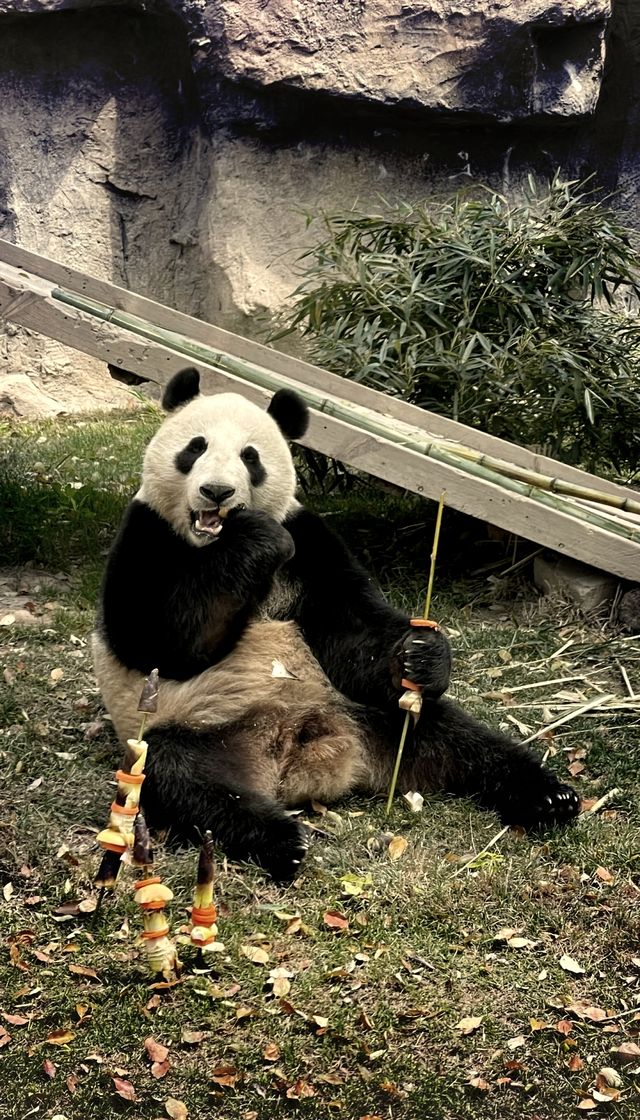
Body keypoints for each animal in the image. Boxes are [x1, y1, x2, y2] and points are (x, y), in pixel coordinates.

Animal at [94, 367, 582, 882]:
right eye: (195, 447)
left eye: (250, 457)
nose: (218, 492)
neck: (211, 542)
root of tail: (302, 759)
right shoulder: (147, 532)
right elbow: (158, 642)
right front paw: (254, 540)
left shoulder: (308, 538)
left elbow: (351, 629)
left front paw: (423, 654)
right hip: (193, 730)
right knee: (181, 777)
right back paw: (281, 839)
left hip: (368, 713)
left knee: (452, 735)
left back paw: (549, 796)